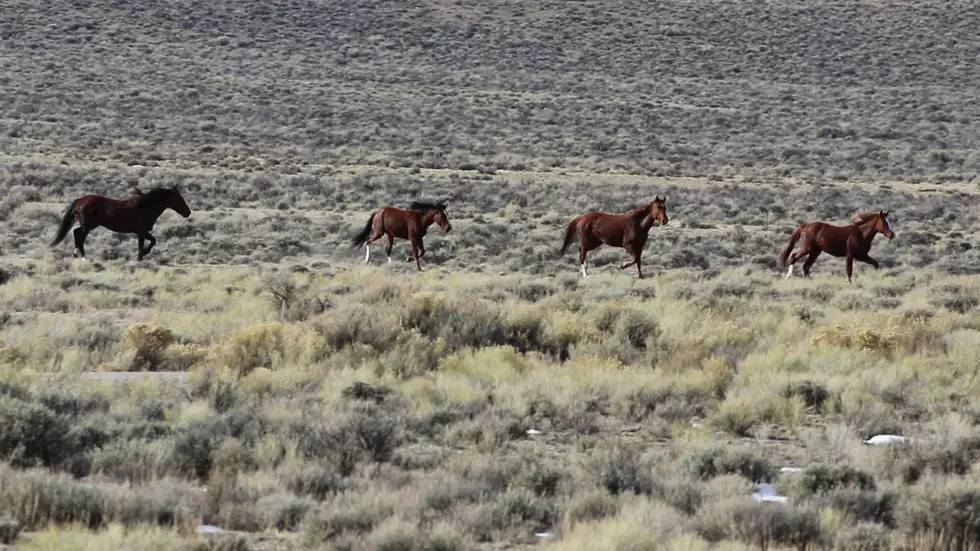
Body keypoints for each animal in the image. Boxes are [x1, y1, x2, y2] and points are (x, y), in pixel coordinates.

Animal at [50, 187, 192, 262]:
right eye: (180, 199)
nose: (188, 213)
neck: (145, 206)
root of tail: (80, 200)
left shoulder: (142, 232)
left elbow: (153, 241)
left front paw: (143, 254)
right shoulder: (141, 232)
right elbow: (146, 244)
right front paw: (141, 256)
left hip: (87, 225)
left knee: (76, 234)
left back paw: (76, 255)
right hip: (88, 226)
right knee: (79, 236)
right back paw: (83, 256)